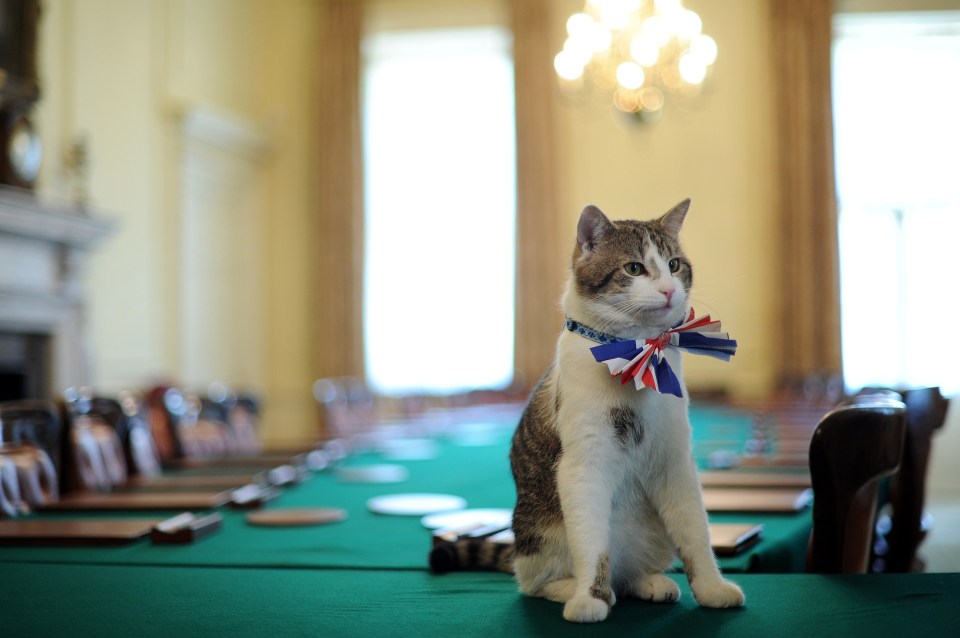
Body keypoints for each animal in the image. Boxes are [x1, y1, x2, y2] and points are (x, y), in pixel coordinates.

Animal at [510, 201, 744, 624]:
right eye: (634, 268)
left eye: (673, 265)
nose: (668, 289)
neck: (637, 353)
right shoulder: (584, 465)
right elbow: (591, 543)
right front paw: (590, 597)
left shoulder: (676, 461)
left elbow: (695, 531)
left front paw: (711, 588)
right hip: (539, 532)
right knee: (535, 582)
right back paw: (572, 588)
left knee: (629, 570)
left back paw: (647, 582)